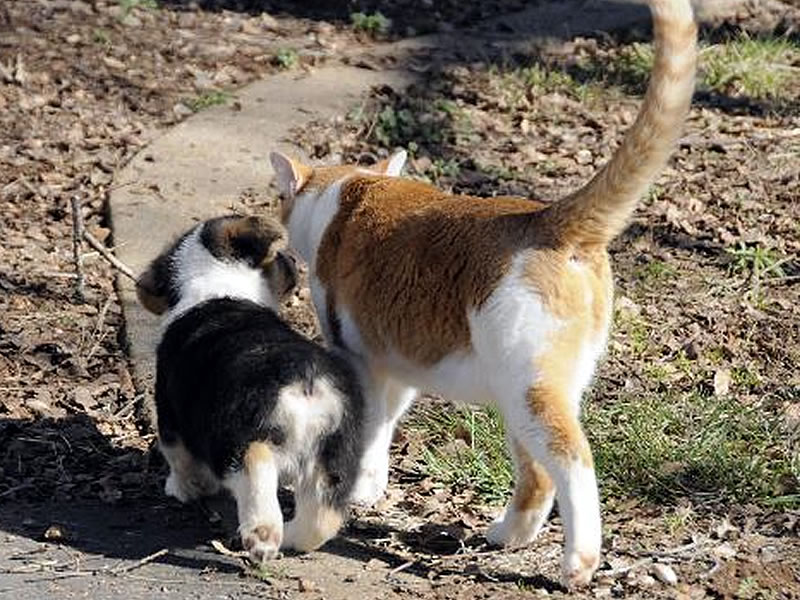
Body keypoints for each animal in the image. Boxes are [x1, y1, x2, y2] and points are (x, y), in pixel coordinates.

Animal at [135, 216, 366, 564]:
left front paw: (182, 490)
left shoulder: (170, 421)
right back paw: (292, 536)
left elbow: (179, 460)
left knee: (256, 467)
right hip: (335, 453)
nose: (295, 262)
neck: (218, 281)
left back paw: (262, 535)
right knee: (323, 516)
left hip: (240, 435)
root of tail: (305, 378)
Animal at [268, 0, 692, 584]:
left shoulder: (357, 355)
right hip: (529, 392)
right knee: (537, 474)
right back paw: (509, 536)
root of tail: (549, 217)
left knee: (572, 463)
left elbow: (365, 423)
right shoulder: (394, 364)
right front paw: (371, 487)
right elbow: (381, 426)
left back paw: (578, 562)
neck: (347, 192)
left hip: (529, 389)